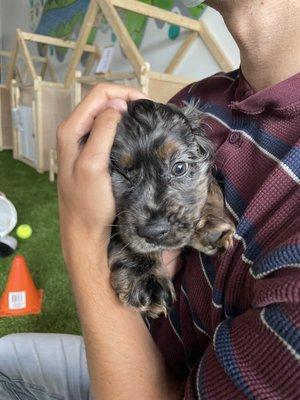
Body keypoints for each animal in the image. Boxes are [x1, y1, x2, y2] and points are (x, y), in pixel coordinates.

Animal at [109, 100, 236, 318]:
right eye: (123, 176)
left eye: (179, 168)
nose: (154, 232)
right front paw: (144, 277)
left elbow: (209, 186)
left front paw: (210, 225)